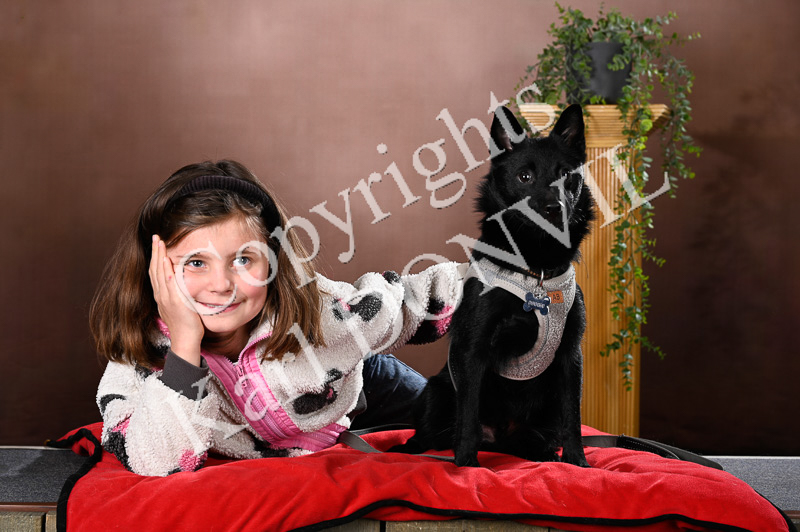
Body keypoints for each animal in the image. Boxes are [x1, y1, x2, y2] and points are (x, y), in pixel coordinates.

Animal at [391, 104, 593, 468]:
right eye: (525, 176)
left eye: (566, 176)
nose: (553, 209)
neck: (535, 270)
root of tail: (498, 439)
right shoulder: (475, 349)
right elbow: (469, 414)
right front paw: (467, 464)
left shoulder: (570, 356)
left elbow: (573, 417)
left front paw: (577, 462)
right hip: (435, 392)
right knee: (428, 435)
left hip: (545, 410)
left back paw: (544, 453)